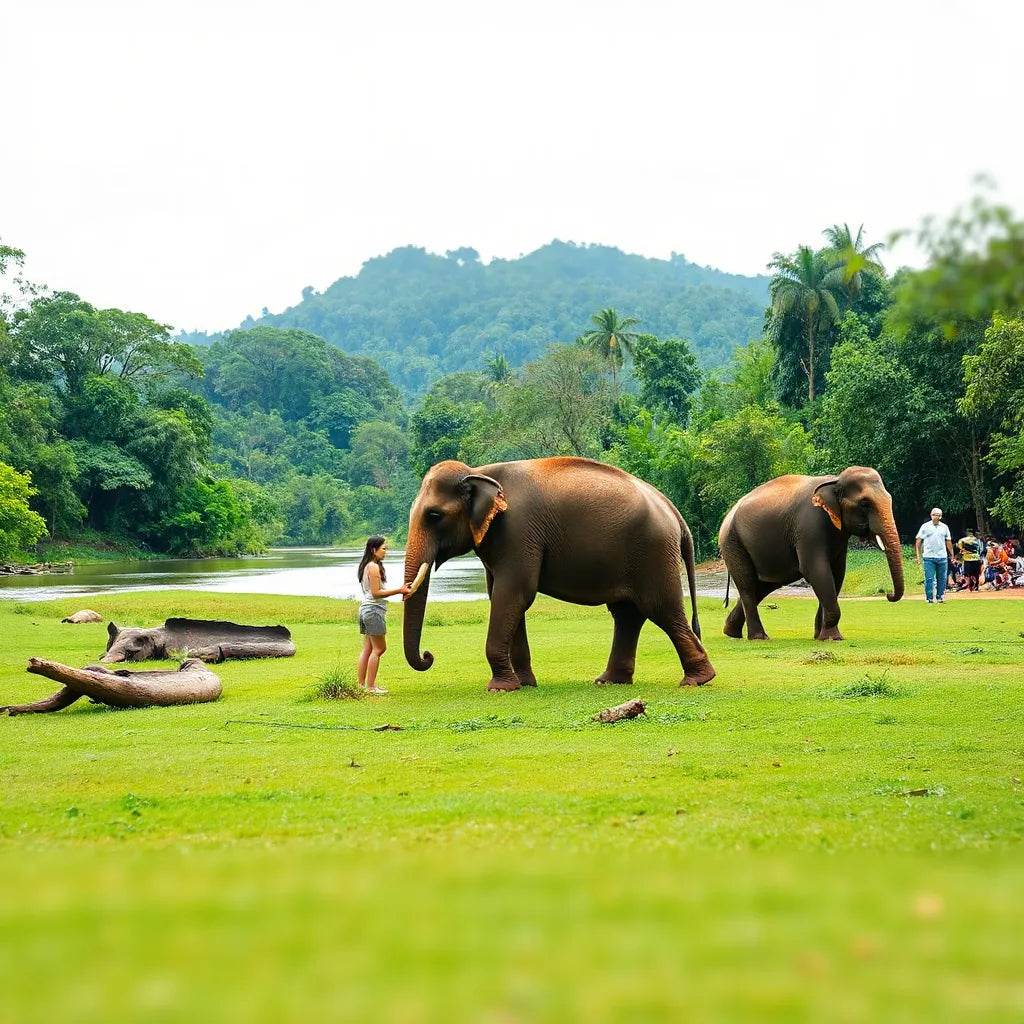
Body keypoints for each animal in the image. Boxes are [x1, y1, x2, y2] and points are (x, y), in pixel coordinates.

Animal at [402, 457, 715, 691]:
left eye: (434, 516)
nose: (428, 655)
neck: (479, 472)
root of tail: (673, 510)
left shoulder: (518, 531)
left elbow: (514, 593)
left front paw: (499, 688)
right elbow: (504, 597)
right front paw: (523, 685)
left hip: (653, 552)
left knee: (660, 608)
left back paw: (696, 681)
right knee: (628, 613)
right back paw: (610, 681)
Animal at [718, 466, 904, 641]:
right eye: (865, 503)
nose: (888, 594)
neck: (835, 480)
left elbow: (837, 574)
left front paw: (819, 635)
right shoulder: (809, 526)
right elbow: (816, 570)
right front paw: (832, 638)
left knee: (765, 585)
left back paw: (730, 631)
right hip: (732, 543)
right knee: (748, 584)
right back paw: (758, 637)